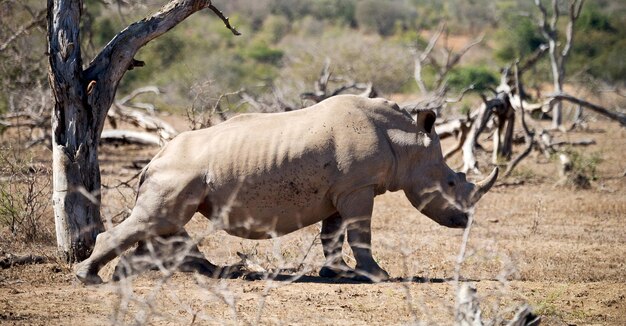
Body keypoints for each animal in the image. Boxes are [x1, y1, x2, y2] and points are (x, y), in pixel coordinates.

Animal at [75, 95, 494, 284]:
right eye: (451, 182)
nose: (465, 221)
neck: (404, 142)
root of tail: (153, 158)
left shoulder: (341, 190)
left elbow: (333, 234)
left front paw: (336, 273)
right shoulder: (358, 188)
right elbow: (360, 233)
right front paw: (379, 275)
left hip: (176, 174)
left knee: (163, 223)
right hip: (178, 172)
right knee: (158, 219)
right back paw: (90, 279)